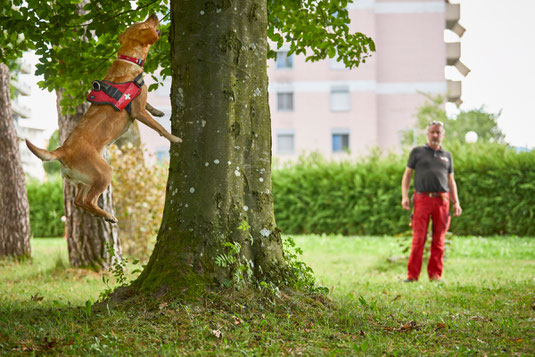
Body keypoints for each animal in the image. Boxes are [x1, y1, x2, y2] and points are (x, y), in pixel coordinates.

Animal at [25, 14, 180, 222]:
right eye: (146, 23)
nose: (155, 15)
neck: (128, 60)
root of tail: (62, 150)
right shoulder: (138, 111)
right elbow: (159, 127)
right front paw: (174, 138)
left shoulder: (142, 105)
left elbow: (150, 106)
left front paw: (158, 111)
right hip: (105, 172)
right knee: (89, 201)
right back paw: (108, 215)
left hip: (84, 181)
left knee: (79, 201)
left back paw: (101, 214)